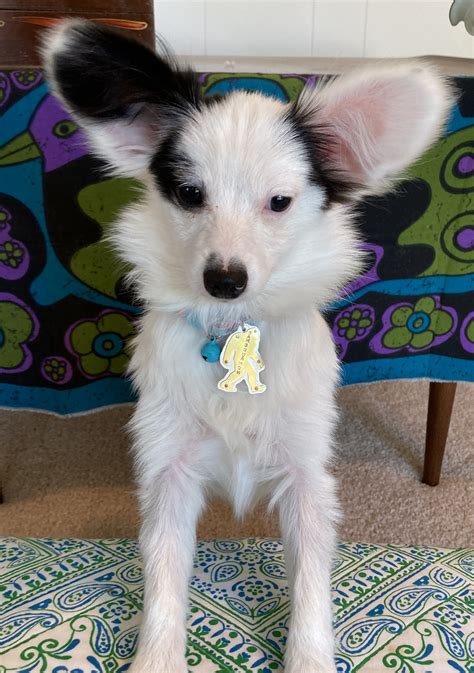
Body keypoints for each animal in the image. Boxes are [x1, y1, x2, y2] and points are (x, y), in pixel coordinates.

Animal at [41, 21, 452, 672]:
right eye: (189, 194)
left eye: (279, 203)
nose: (224, 279)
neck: (232, 328)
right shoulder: (168, 471)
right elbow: (163, 579)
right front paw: (157, 659)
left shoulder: (307, 479)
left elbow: (311, 587)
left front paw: (308, 660)